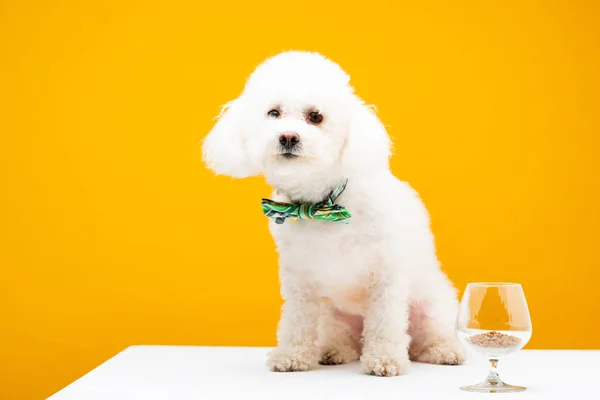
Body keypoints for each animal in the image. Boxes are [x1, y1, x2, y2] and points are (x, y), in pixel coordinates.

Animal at [203, 51, 464, 376]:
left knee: (428, 337)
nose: (288, 137)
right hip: (333, 316)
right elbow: (296, 321)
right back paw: (333, 351)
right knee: (342, 338)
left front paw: (385, 359)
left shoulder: (386, 276)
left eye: (316, 116)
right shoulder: (299, 278)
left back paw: (443, 351)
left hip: (432, 309)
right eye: (273, 113)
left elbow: (386, 325)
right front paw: (291, 355)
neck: (320, 205)